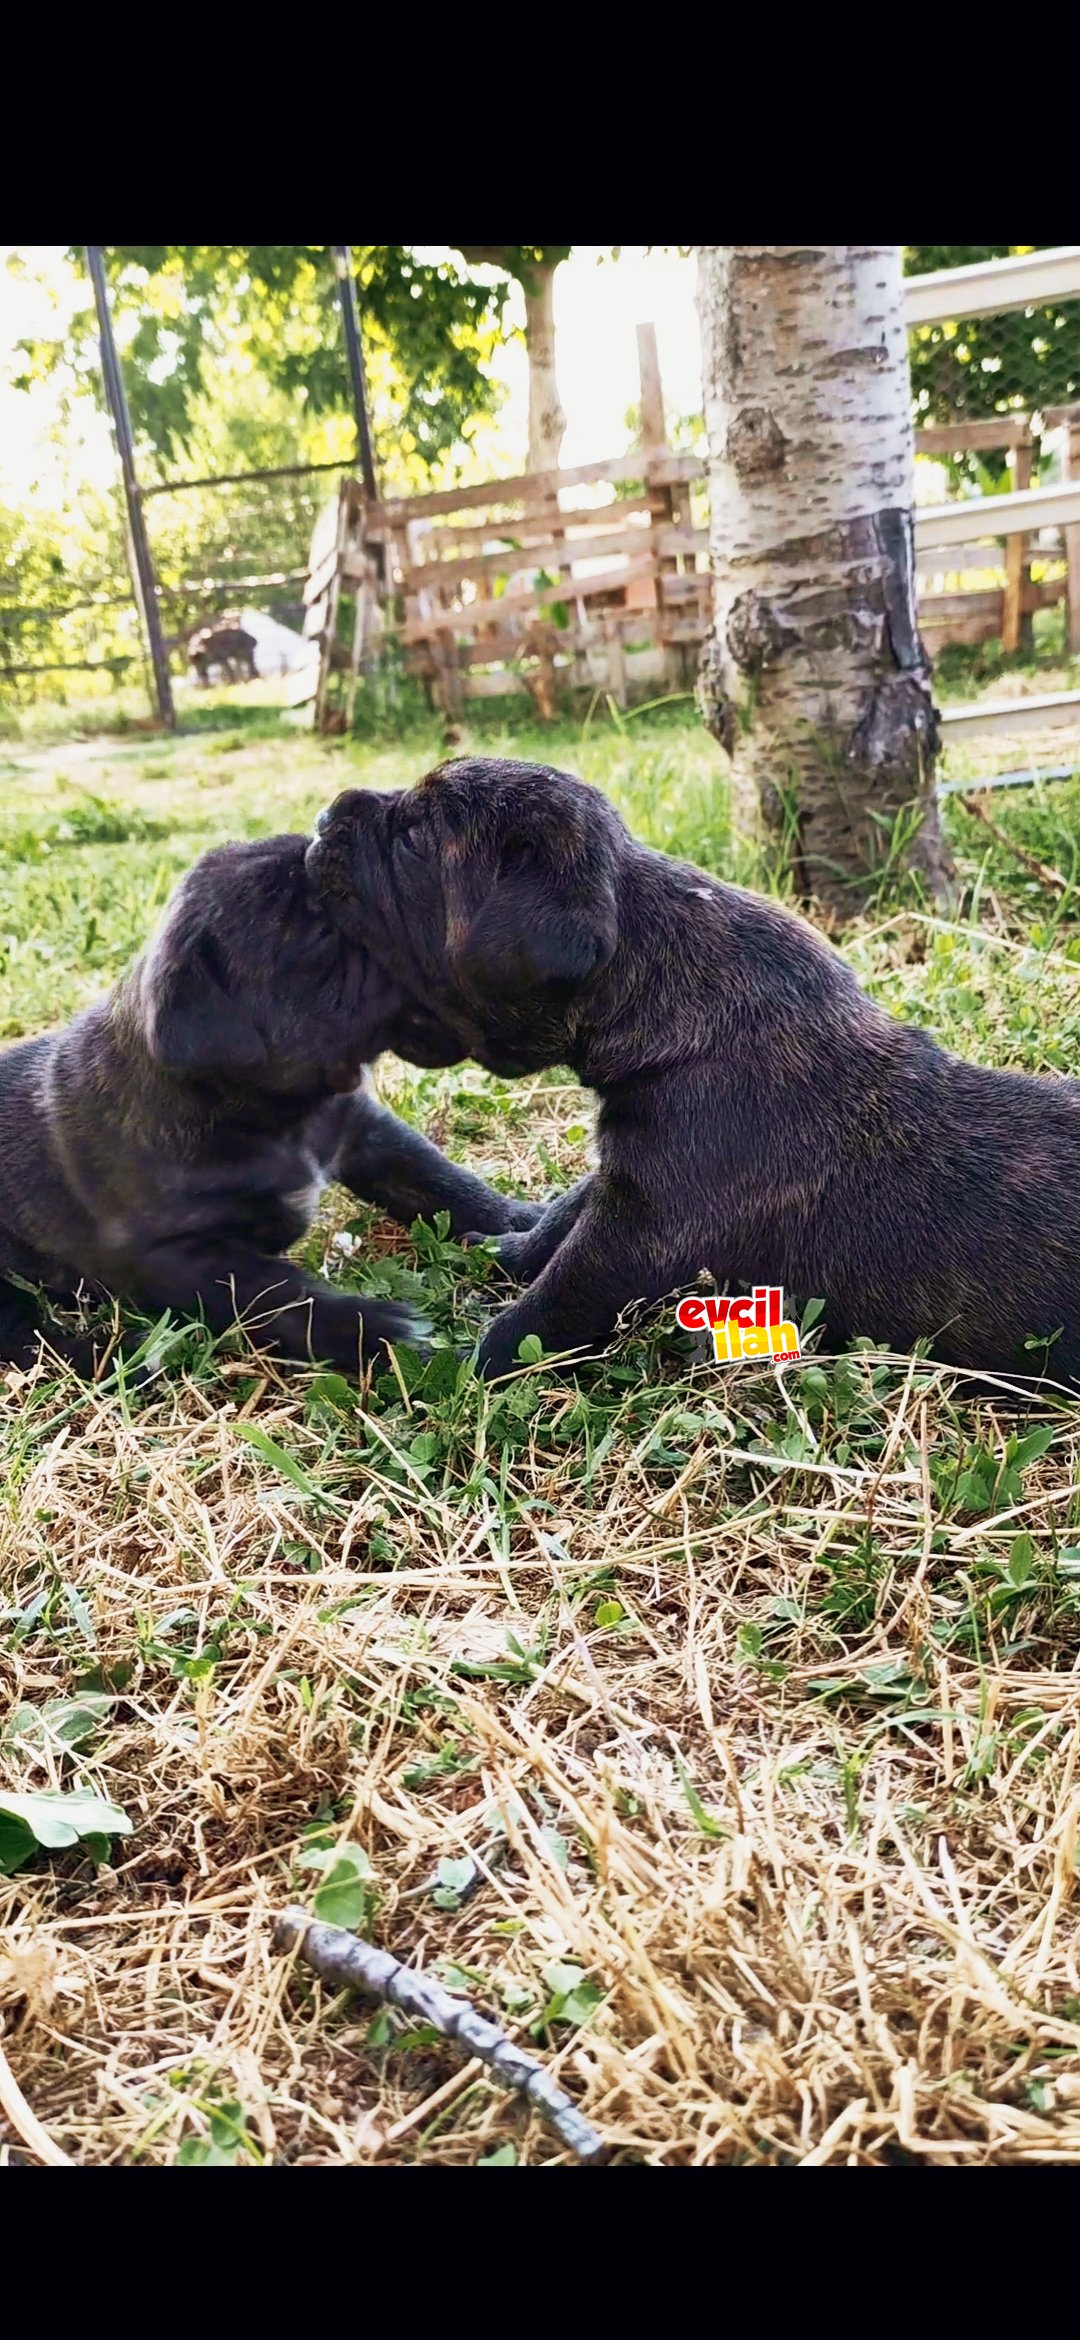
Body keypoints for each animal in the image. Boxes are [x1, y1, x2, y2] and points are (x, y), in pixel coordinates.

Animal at [0, 833, 540, 1375]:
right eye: (320, 934)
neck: (277, 1115)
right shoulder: (176, 1257)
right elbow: (274, 1292)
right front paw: (373, 1330)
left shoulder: (364, 1132)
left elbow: (433, 1176)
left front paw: (518, 1224)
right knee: (23, 1333)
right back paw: (104, 1355)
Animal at [303, 762, 1080, 1385]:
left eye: (414, 839)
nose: (327, 810)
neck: (653, 976)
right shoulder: (626, 1178)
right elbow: (562, 1217)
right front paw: (503, 1250)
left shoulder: (640, 1232)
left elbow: (546, 1306)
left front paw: (452, 1366)